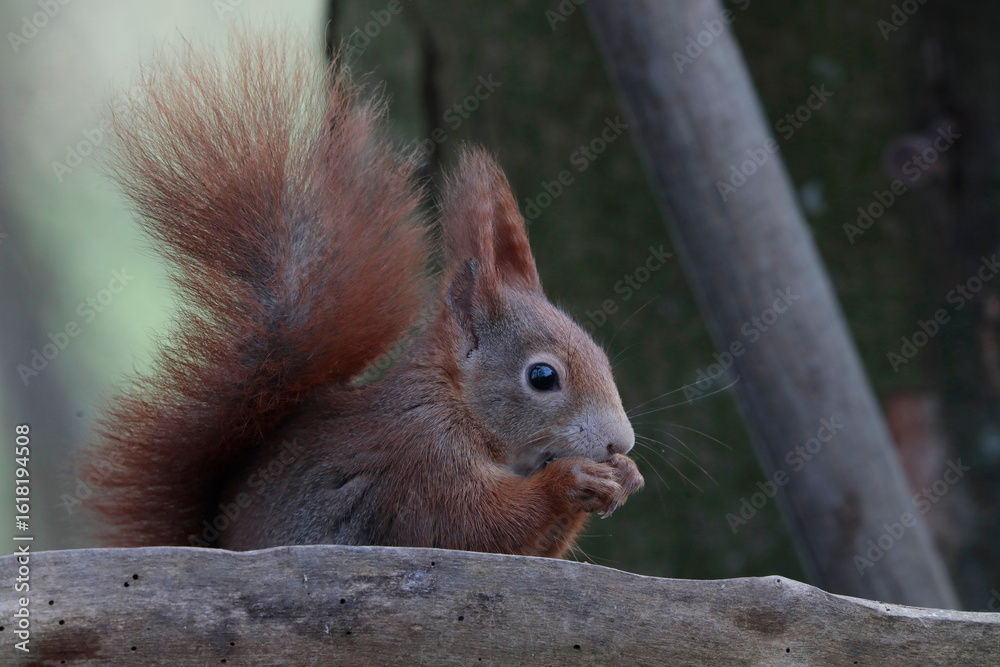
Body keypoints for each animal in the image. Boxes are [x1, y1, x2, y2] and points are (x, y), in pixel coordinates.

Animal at [82, 31, 643, 558]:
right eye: (542, 377)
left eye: (602, 357)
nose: (620, 441)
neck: (455, 403)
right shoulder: (421, 459)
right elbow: (478, 527)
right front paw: (572, 480)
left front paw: (626, 475)